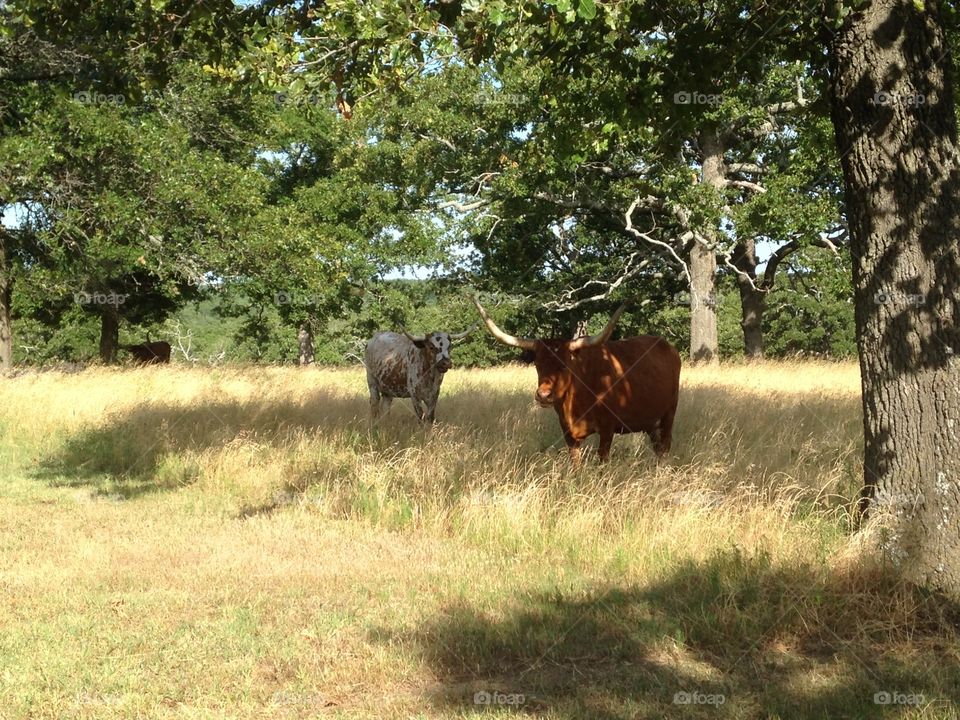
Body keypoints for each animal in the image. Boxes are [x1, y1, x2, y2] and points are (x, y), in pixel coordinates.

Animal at [472, 296, 684, 464]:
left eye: (564, 365)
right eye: (537, 364)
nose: (544, 395)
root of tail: (668, 347)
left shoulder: (607, 429)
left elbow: (602, 460)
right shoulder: (568, 433)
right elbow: (575, 464)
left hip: (669, 413)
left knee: (665, 445)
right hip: (650, 420)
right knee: (657, 447)